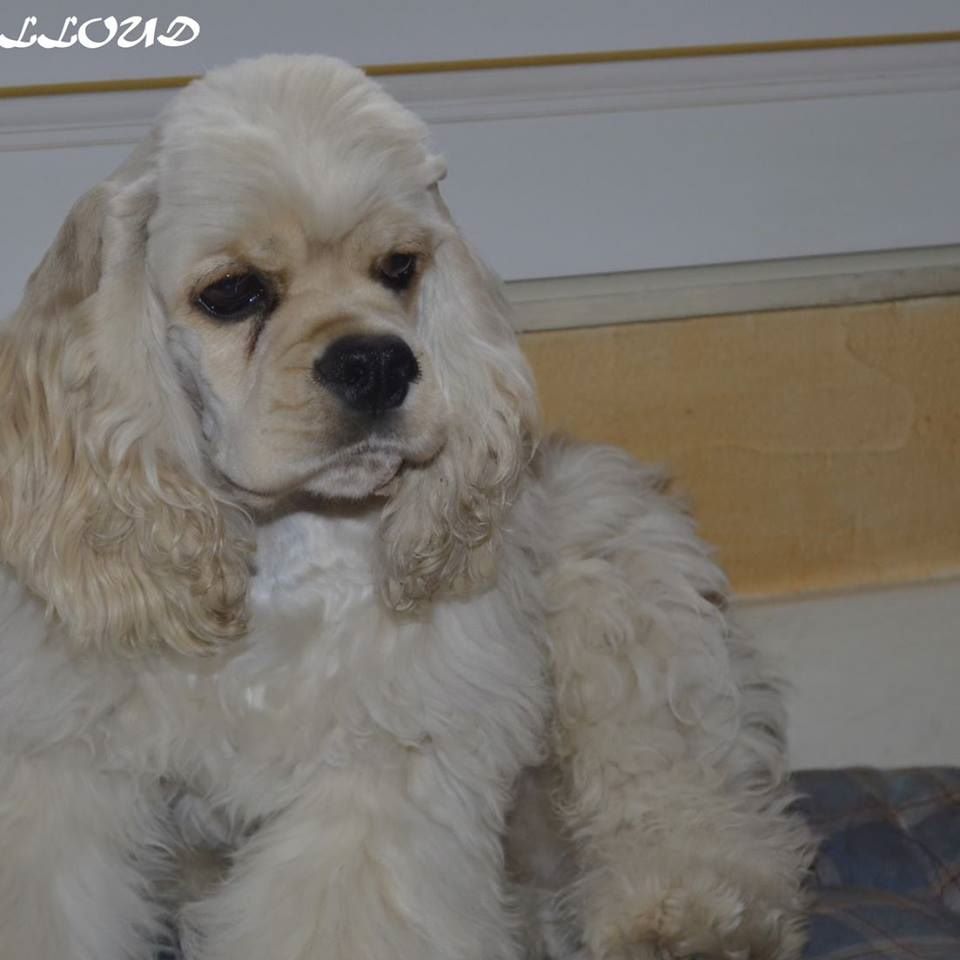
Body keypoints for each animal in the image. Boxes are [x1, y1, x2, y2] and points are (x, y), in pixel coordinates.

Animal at [0, 55, 813, 960]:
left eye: (399, 267)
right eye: (233, 292)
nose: (378, 363)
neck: (283, 547)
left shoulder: (382, 762)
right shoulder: (57, 754)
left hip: (625, 582)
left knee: (679, 784)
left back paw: (689, 918)